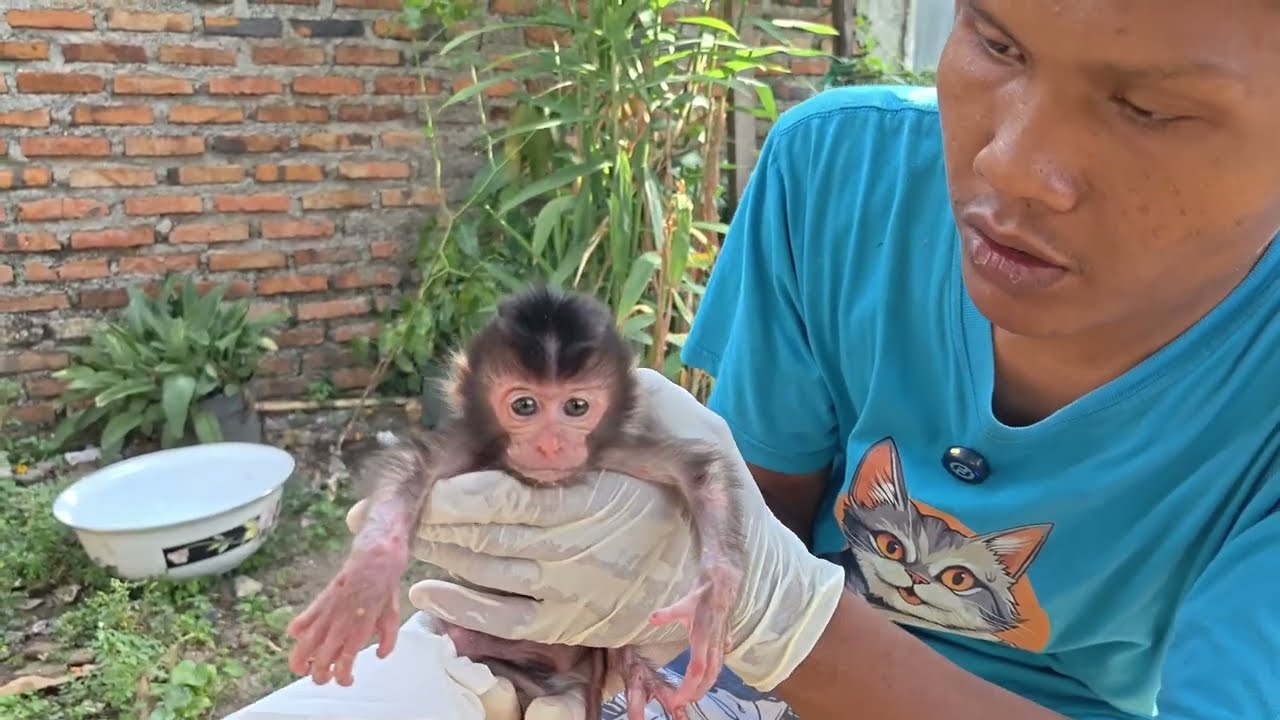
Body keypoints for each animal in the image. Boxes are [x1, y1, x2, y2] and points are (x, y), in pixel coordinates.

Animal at [285, 285, 746, 720]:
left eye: (576, 406)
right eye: (524, 405)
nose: (550, 444)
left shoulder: (614, 451)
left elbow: (698, 474)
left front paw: (711, 604)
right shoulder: (472, 448)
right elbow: (412, 468)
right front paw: (367, 579)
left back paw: (632, 671)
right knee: (467, 640)